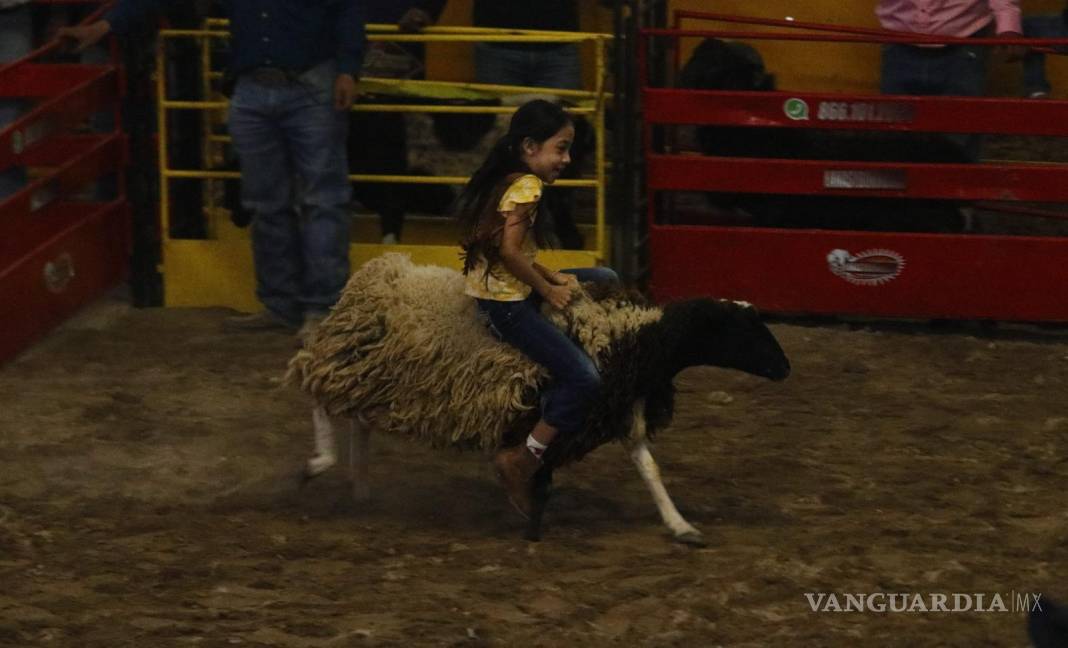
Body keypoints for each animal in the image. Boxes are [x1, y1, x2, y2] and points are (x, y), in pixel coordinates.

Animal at [288, 254, 790, 542]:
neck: (634, 338)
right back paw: (316, 465)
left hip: (376, 373)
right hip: (351, 360)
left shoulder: (614, 410)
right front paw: (530, 520)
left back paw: (359, 482)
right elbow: (539, 468)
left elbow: (649, 468)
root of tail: (381, 270)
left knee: (358, 419)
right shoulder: (566, 408)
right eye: (742, 329)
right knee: (317, 394)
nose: (785, 368)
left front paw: (680, 525)